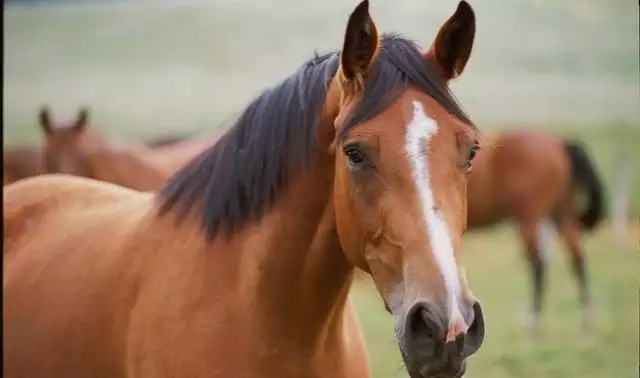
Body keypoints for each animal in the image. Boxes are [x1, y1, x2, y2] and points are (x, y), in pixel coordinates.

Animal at [468, 130, 604, 330]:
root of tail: (560, 144)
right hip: (560, 215)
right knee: (577, 259)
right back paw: (586, 319)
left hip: (530, 220)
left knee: (538, 264)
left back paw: (534, 321)